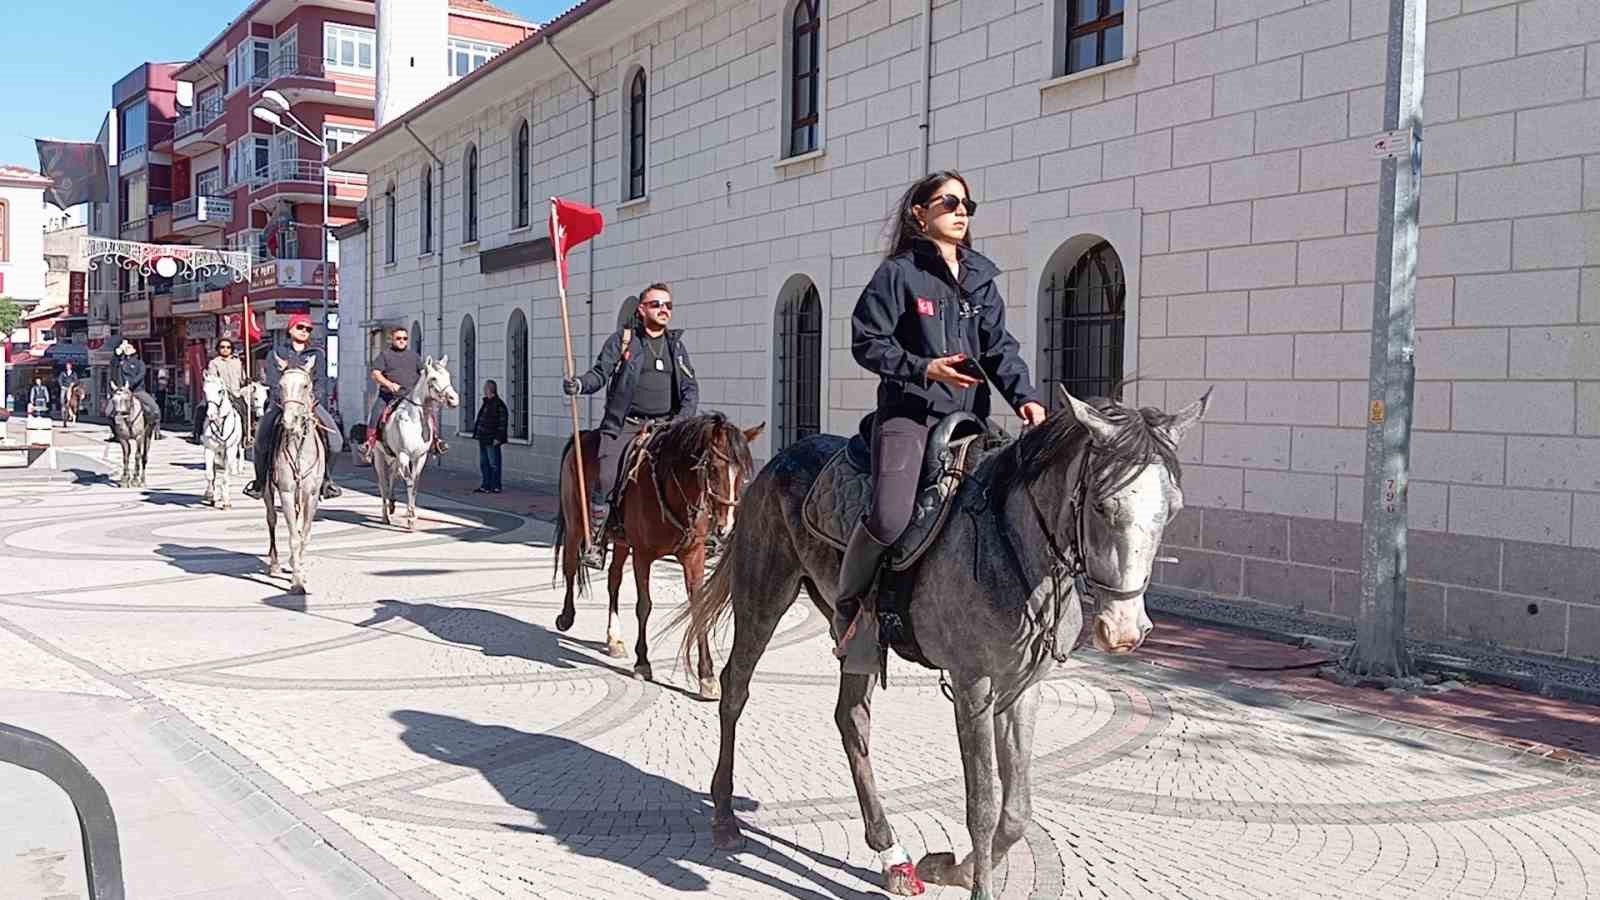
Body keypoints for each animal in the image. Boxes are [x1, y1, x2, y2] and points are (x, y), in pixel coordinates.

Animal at [200, 371, 243, 509]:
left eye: (220, 391)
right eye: (205, 390)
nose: (211, 415)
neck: (220, 423)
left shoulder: (230, 450)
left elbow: (225, 476)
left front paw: (226, 501)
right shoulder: (209, 449)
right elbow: (209, 474)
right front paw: (210, 494)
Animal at [264, 353, 326, 592]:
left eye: (306, 385)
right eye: (281, 385)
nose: (289, 422)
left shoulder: (312, 494)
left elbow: (304, 534)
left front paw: (300, 569)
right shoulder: (287, 493)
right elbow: (293, 536)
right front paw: (297, 580)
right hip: (267, 490)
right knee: (271, 519)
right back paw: (274, 564)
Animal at [369, 355, 457, 528]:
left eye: (448, 376)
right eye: (433, 378)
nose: (453, 399)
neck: (414, 420)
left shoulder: (419, 457)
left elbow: (415, 484)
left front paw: (412, 513)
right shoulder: (404, 455)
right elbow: (409, 482)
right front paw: (410, 518)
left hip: (394, 457)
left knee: (392, 476)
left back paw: (392, 504)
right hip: (380, 456)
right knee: (383, 483)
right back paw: (385, 515)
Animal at [556, 413, 761, 695]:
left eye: (742, 473)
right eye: (713, 468)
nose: (725, 527)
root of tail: (584, 434)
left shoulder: (693, 556)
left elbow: (699, 607)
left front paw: (707, 676)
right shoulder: (643, 555)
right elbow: (644, 605)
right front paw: (643, 662)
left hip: (622, 543)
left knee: (613, 580)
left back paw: (614, 639)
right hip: (576, 523)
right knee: (570, 566)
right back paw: (566, 617)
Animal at [668, 387, 1203, 896]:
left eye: (1173, 509)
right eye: (1102, 504)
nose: (1125, 630)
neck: (1012, 544)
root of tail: (777, 461)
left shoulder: (1022, 688)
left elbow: (1018, 811)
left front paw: (952, 869)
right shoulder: (973, 687)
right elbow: (982, 805)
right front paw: (977, 885)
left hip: (857, 638)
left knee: (851, 720)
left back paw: (893, 855)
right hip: (763, 596)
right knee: (736, 690)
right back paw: (724, 818)